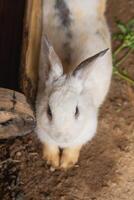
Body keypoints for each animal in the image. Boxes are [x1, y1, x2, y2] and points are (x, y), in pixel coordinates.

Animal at [35, 0, 112, 169]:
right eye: (49, 111)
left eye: (76, 111)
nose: (62, 137)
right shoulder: (41, 129)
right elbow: (49, 144)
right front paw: (52, 160)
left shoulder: (87, 131)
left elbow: (74, 147)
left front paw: (66, 164)